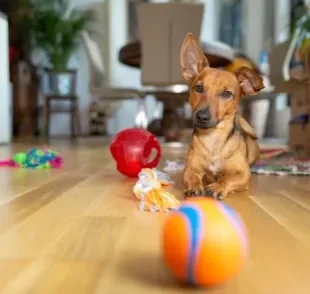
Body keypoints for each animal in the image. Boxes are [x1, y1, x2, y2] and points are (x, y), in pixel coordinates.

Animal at [182, 33, 264, 201]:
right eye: (198, 88)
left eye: (227, 93)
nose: (202, 116)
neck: (213, 138)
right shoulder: (190, 168)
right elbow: (192, 176)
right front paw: (194, 186)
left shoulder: (242, 174)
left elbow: (228, 178)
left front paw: (217, 187)